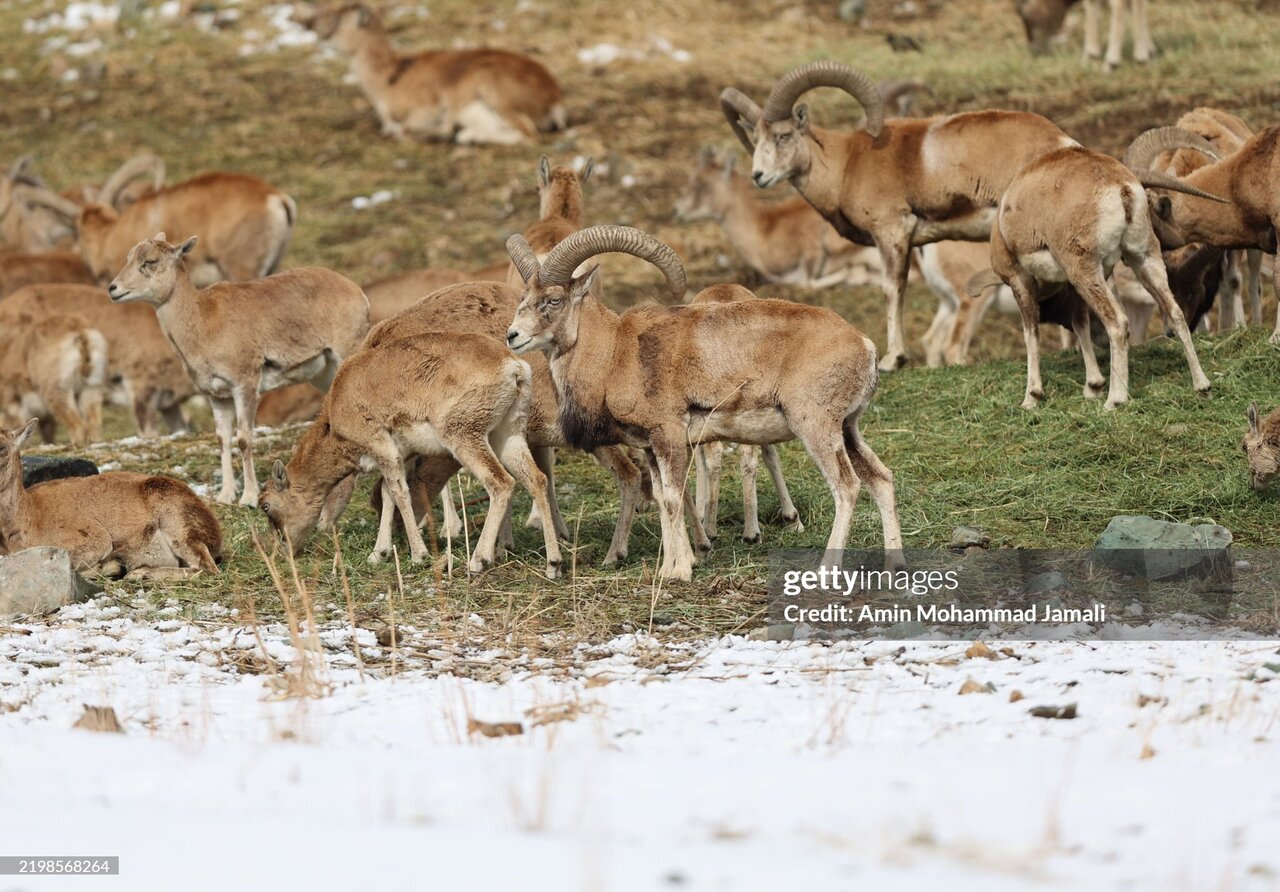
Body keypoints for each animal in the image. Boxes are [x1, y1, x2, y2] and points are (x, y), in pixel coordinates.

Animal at [0, 419, 222, 578]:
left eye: (2, 448)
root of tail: (216, 535)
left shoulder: (93, 538)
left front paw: (113, 566)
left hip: (178, 524)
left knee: (207, 568)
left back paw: (139, 573)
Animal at [109, 232, 371, 504]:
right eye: (129, 257)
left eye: (150, 261)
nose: (113, 289)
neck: (202, 323)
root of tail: (356, 292)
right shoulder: (218, 396)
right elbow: (223, 439)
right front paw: (225, 495)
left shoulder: (244, 386)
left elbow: (244, 439)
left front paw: (248, 497)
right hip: (324, 374)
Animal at [258, 330, 560, 573]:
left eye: (266, 505)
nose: (282, 552)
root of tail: (514, 368)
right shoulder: (403, 455)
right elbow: (387, 493)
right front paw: (378, 554)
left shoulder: (382, 448)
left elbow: (400, 492)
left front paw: (418, 554)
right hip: (508, 436)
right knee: (536, 479)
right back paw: (553, 563)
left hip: (465, 437)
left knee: (501, 482)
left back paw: (478, 560)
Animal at [307, 4, 563, 145]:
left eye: (338, 17)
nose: (315, 30)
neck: (387, 78)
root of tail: (553, 98)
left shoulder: (429, 106)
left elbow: (405, 131)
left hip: (495, 96)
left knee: (528, 133)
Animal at [504, 226, 906, 581]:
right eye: (523, 297)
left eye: (553, 300)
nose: (513, 336)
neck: (616, 353)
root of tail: (864, 346)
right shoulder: (651, 447)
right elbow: (665, 500)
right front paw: (671, 568)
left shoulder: (668, 437)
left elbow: (672, 499)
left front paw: (679, 571)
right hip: (848, 429)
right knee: (881, 478)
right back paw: (895, 566)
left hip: (818, 429)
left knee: (847, 487)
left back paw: (825, 571)